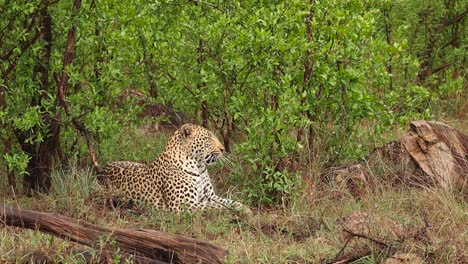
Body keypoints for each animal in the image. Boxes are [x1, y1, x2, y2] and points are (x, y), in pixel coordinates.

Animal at [99, 123, 249, 212]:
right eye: (208, 139)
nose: (223, 149)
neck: (199, 167)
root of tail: (102, 169)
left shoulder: (210, 196)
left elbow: (229, 202)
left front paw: (245, 209)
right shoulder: (183, 205)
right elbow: (215, 207)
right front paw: (237, 212)